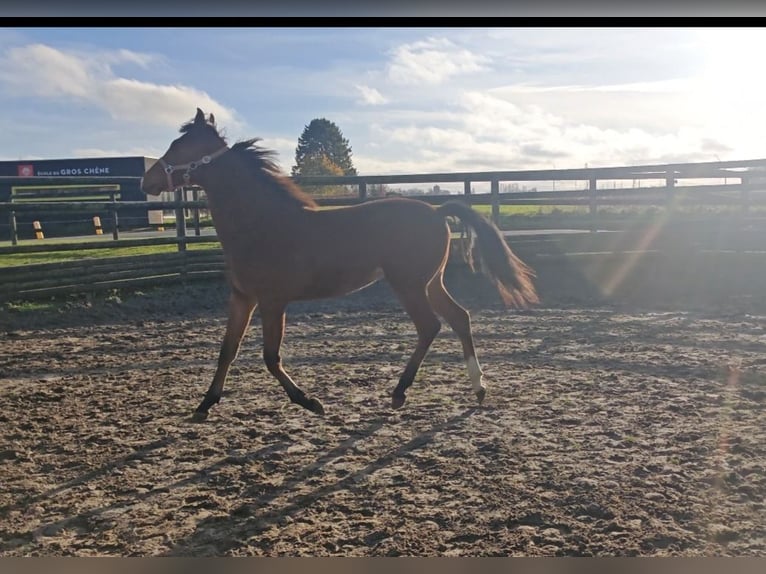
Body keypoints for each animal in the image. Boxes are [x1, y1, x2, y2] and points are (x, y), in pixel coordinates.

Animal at [141, 108, 539, 421]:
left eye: (180, 146)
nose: (147, 179)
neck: (260, 224)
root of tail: (436, 210)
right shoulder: (242, 298)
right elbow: (227, 350)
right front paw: (204, 405)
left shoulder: (272, 301)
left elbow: (270, 357)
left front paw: (310, 402)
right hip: (431, 282)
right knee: (459, 318)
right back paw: (478, 388)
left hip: (408, 284)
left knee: (430, 326)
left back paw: (399, 393)